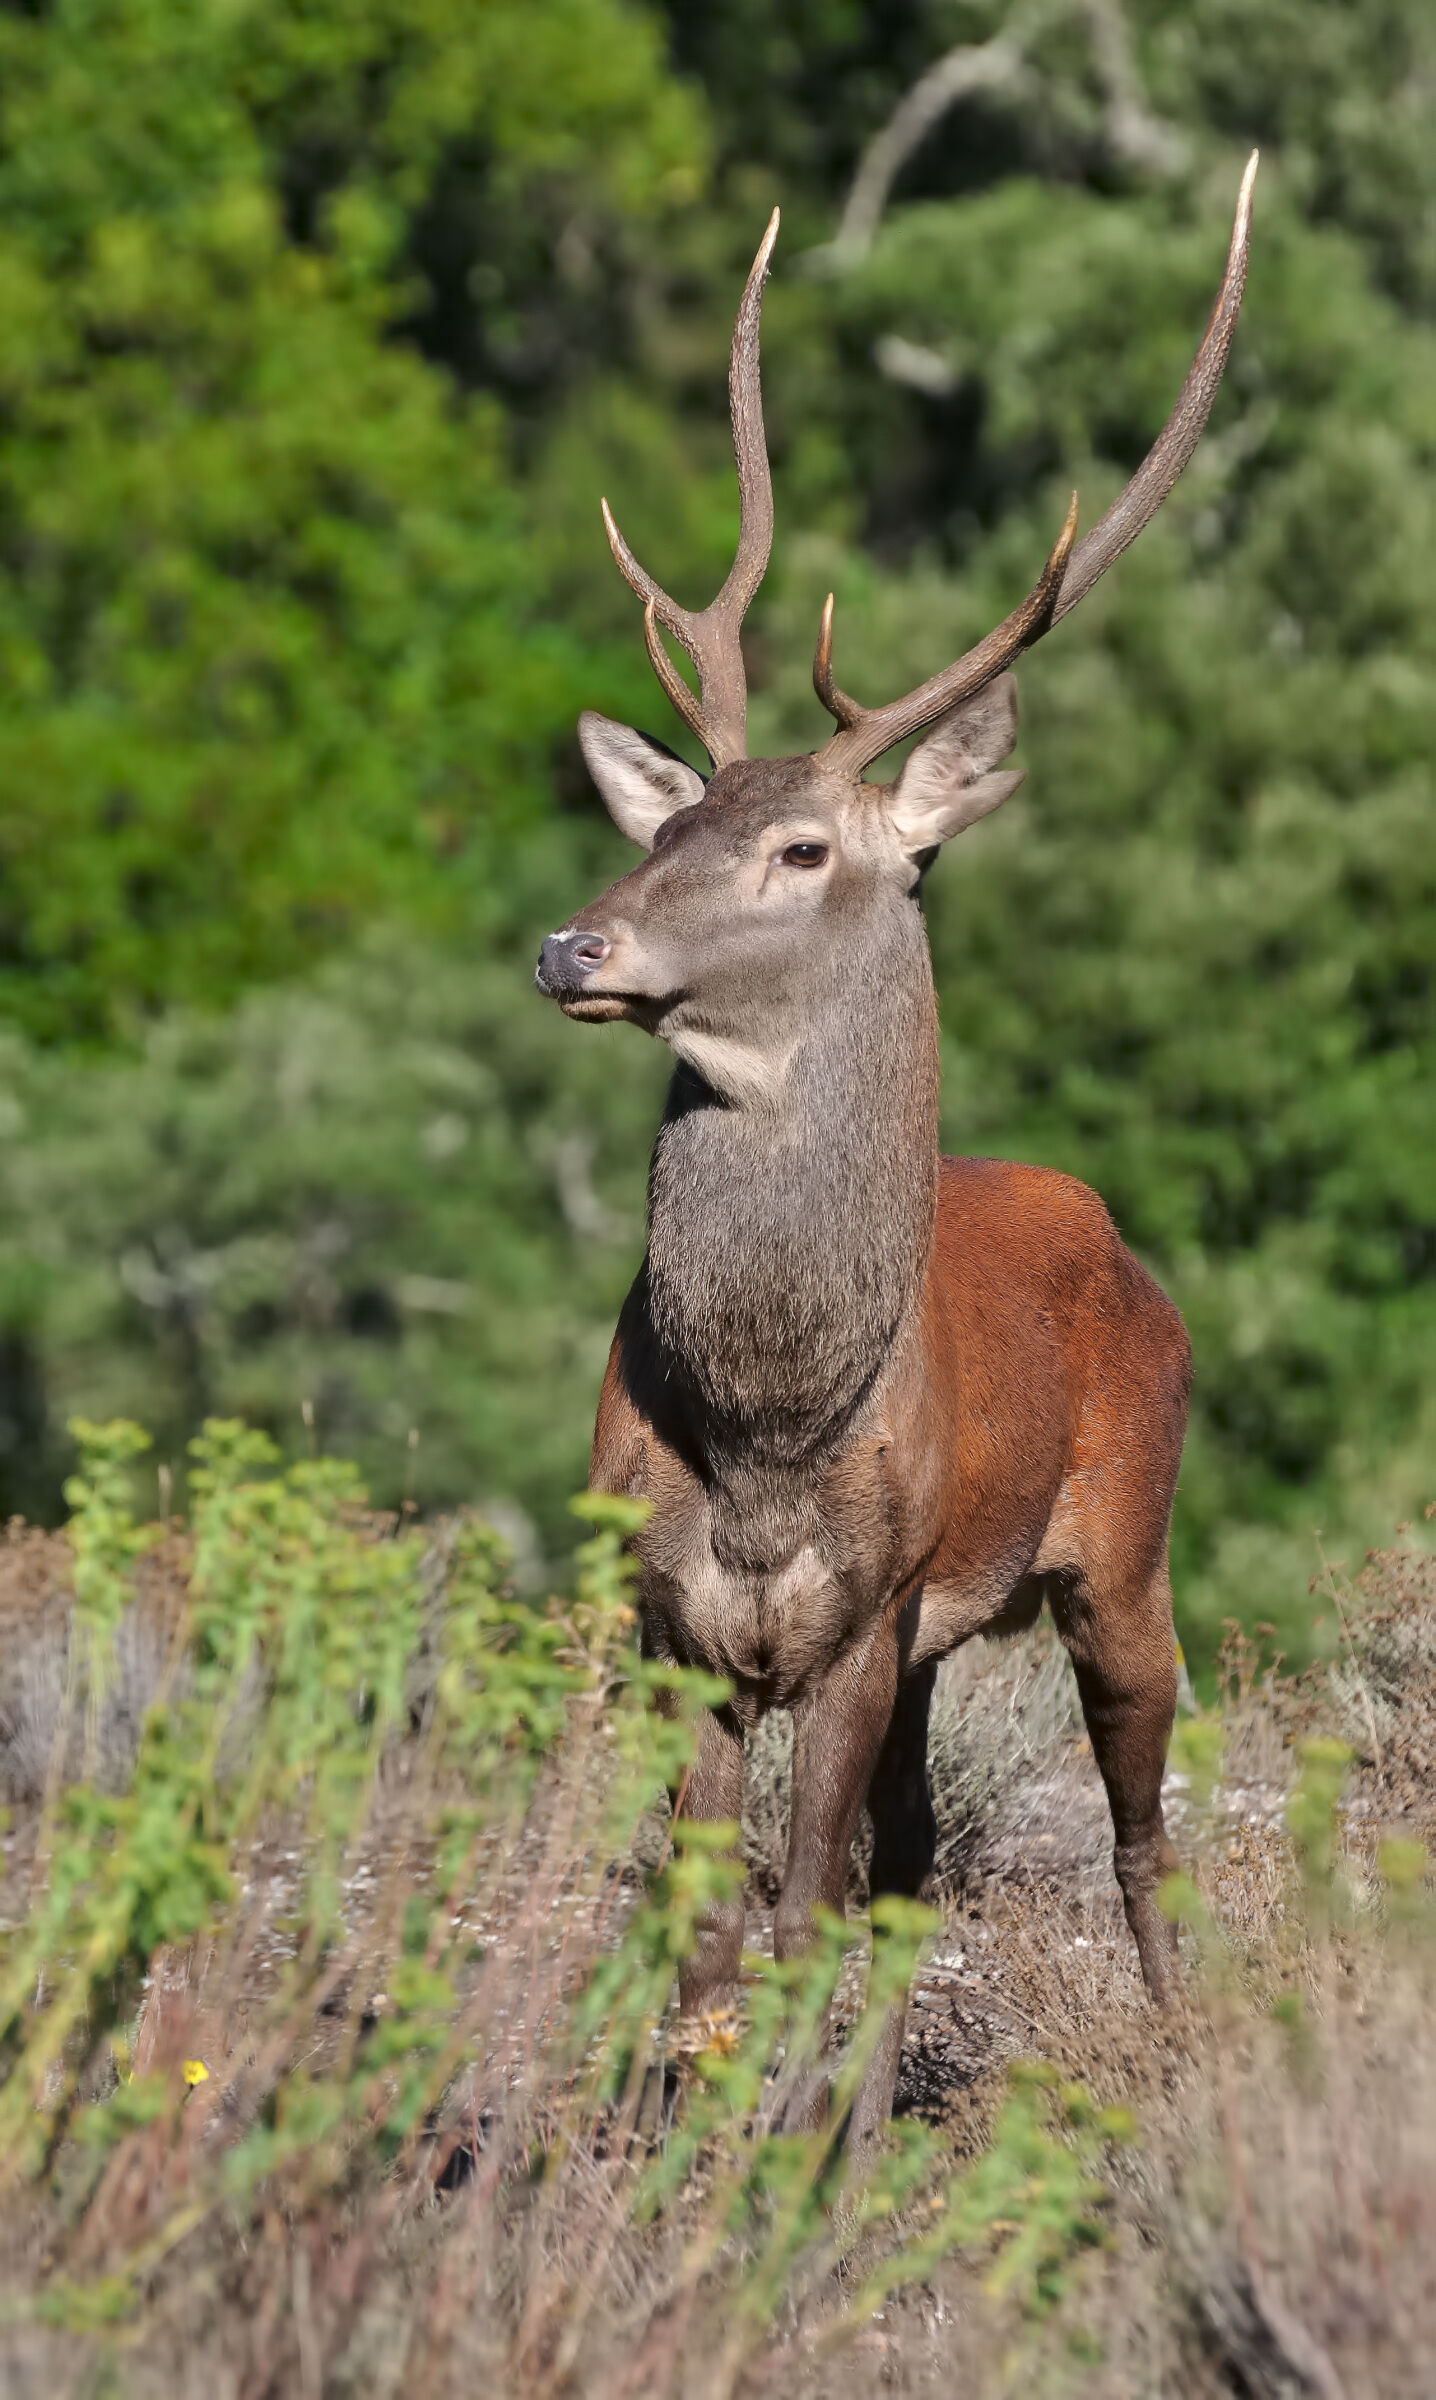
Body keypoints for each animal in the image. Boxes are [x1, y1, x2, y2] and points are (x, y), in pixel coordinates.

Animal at [536, 155, 1257, 2154]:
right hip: (948, 1638)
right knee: (921, 1860)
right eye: (668, 822)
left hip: (1126, 1544)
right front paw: (692, 2154)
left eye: (802, 849)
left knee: (1140, 1822)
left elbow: (796, 1907)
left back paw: (1177, 2063)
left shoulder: (859, 1622)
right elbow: (715, 1921)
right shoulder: (672, 1623)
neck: (767, 1434)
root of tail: (1125, 1251)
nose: (573, 947)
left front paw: (775, 2170)